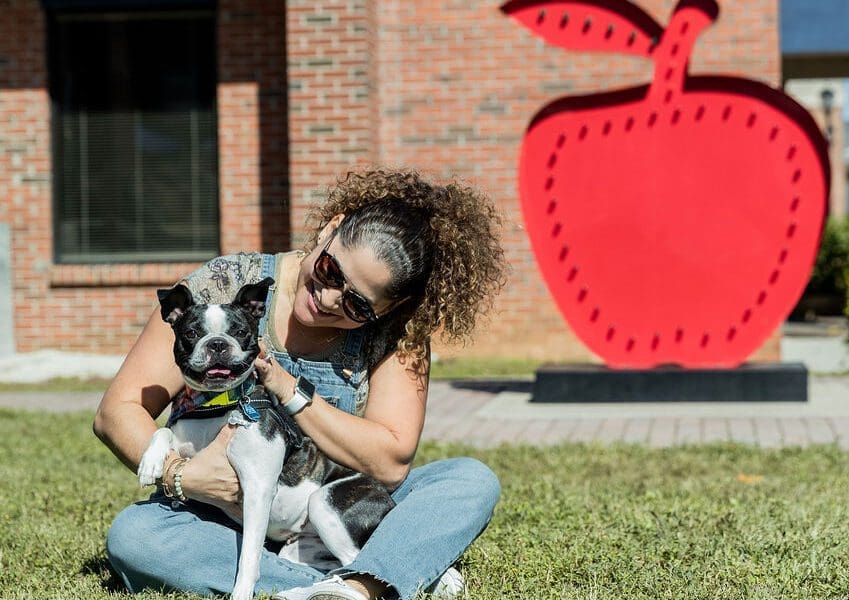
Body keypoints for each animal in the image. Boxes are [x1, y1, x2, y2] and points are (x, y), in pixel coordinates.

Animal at [137, 278, 394, 600]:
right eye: (192, 333)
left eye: (240, 332)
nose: (217, 343)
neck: (219, 404)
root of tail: (388, 499)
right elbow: (163, 431)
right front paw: (150, 462)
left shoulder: (257, 489)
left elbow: (248, 556)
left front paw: (241, 593)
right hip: (300, 548)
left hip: (325, 502)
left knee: (358, 562)